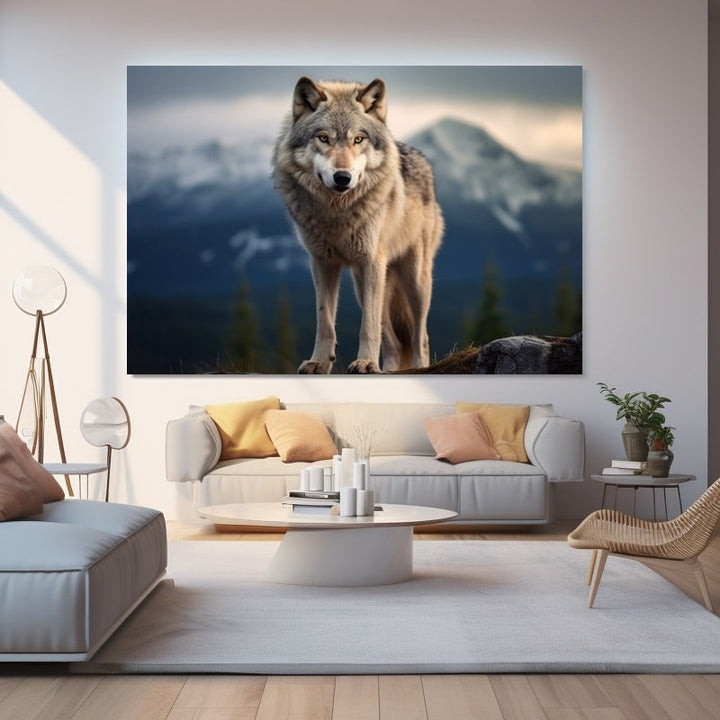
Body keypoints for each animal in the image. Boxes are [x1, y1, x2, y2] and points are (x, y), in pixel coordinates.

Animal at [272, 76, 444, 374]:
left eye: (358, 139)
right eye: (323, 138)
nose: (343, 177)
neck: (337, 213)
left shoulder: (372, 261)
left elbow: (368, 326)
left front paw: (364, 362)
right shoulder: (322, 263)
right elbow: (325, 321)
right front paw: (319, 362)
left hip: (414, 280)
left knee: (419, 336)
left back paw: (416, 367)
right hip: (362, 283)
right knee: (394, 343)